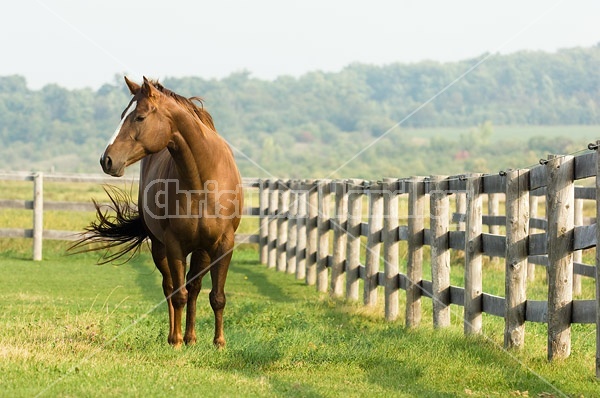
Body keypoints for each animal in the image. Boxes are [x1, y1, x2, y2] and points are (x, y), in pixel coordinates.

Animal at [77, 76, 241, 346]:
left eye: (139, 117)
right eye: (123, 114)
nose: (106, 160)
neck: (203, 182)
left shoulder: (223, 244)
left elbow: (217, 296)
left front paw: (219, 343)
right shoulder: (174, 244)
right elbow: (177, 294)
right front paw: (176, 342)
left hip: (202, 250)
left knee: (194, 286)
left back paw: (191, 337)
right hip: (159, 247)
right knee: (170, 287)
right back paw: (176, 336)